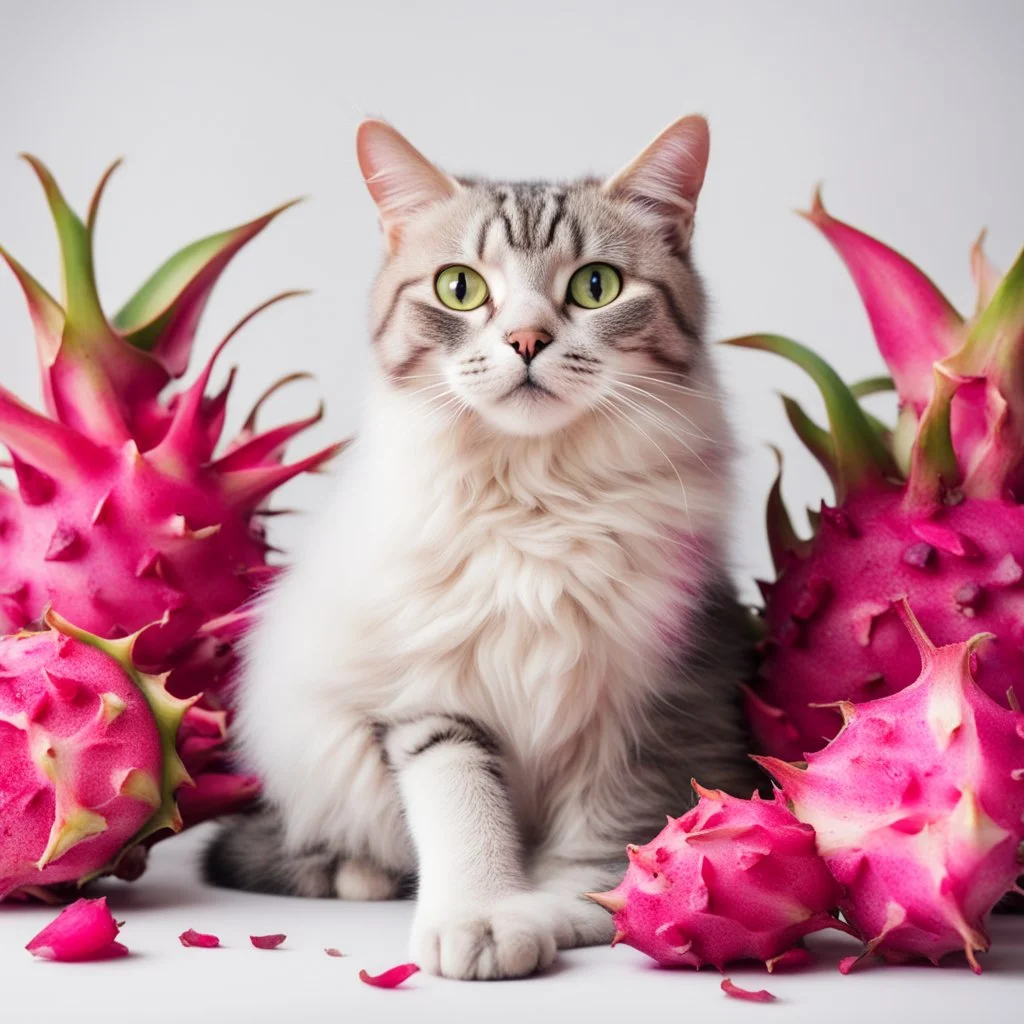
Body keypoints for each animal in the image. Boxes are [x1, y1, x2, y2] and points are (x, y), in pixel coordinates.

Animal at [205, 114, 761, 983]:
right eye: (460, 288)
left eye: (595, 286)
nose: (528, 339)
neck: (535, 499)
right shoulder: (428, 694)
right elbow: (463, 811)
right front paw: (484, 915)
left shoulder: (646, 699)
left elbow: (603, 836)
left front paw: (574, 909)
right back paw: (361, 873)